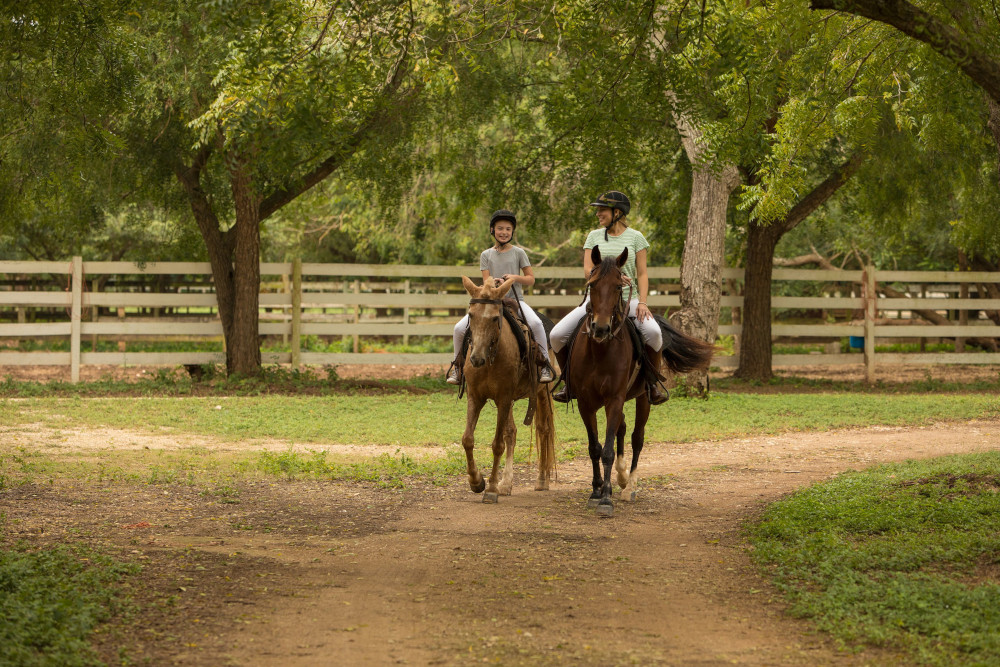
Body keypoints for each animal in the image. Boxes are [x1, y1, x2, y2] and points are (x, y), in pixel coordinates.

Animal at [458, 276, 556, 500]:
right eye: (471, 315)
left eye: (495, 318)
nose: (476, 359)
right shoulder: (475, 397)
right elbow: (468, 439)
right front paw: (477, 482)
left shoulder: (503, 398)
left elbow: (497, 444)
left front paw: (491, 488)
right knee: (512, 432)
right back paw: (507, 483)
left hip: (542, 393)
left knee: (544, 430)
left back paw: (541, 480)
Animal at [568, 249, 716, 516]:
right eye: (592, 285)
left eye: (618, 286)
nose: (601, 328)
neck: (599, 351)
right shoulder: (586, 403)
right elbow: (595, 447)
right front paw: (596, 491)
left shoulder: (614, 399)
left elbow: (607, 450)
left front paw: (606, 499)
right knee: (622, 429)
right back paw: (622, 476)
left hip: (643, 398)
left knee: (637, 437)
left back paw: (630, 486)